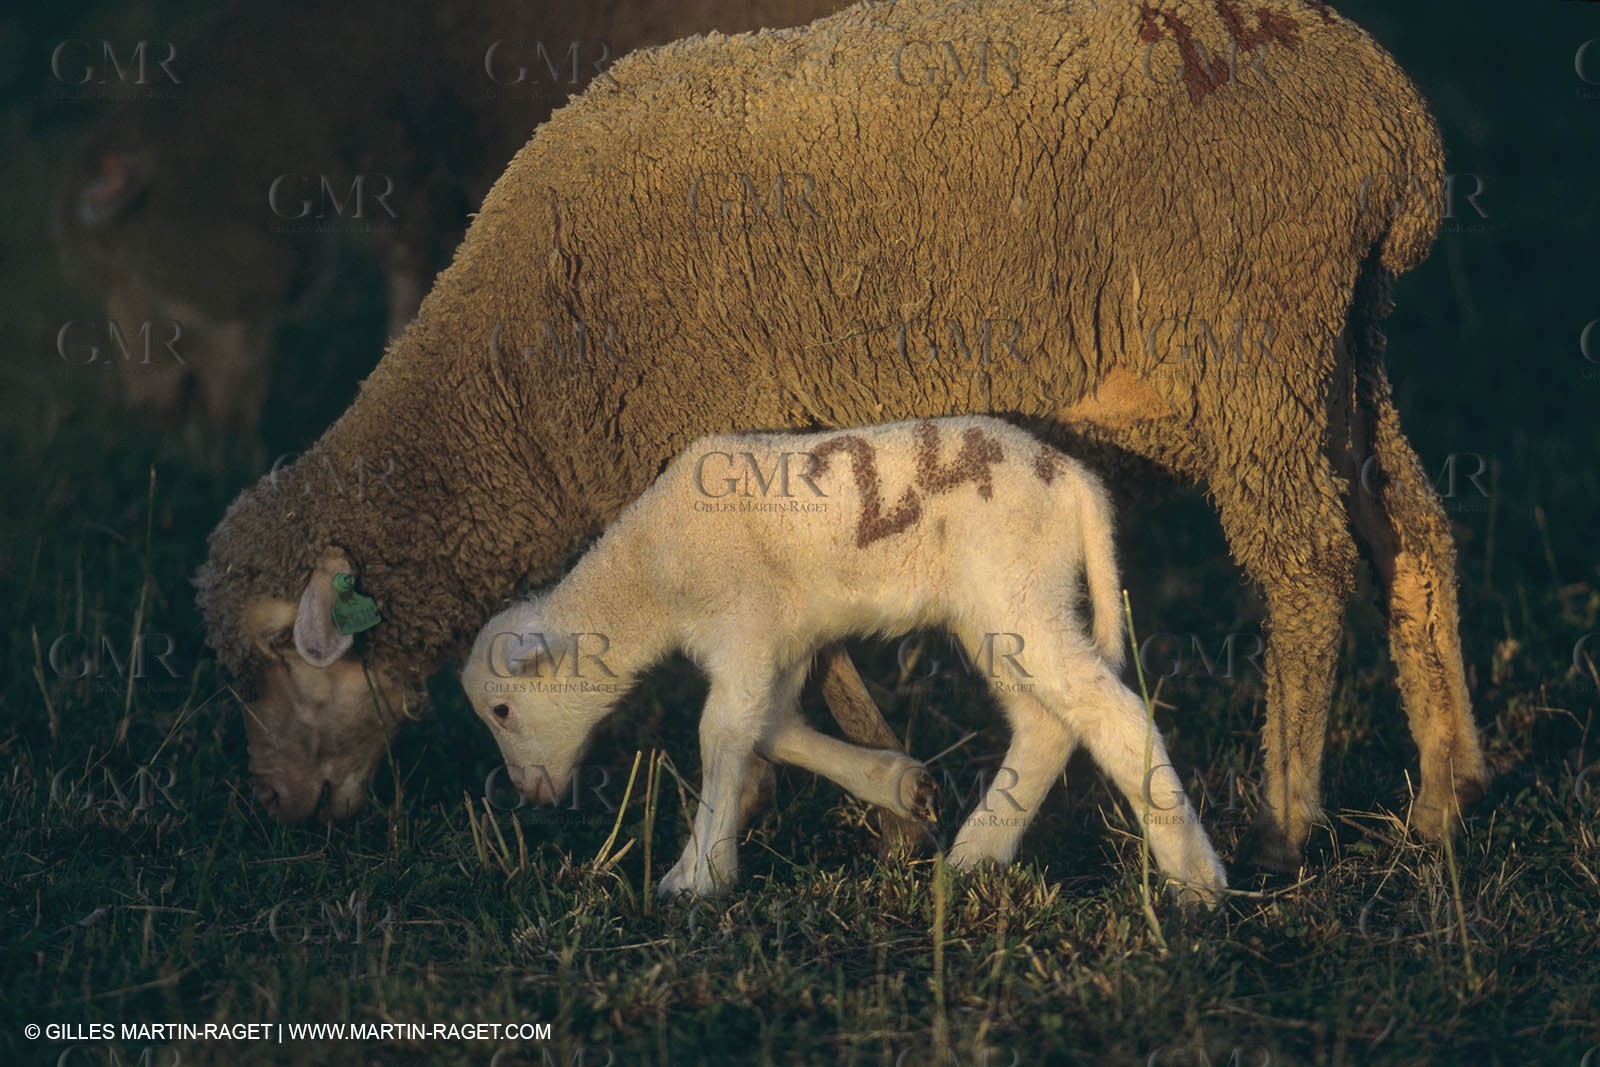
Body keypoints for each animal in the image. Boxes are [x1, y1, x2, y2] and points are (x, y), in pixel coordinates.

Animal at [461, 417, 1228, 904]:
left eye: (502, 708)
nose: (530, 793)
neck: (650, 575)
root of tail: (1071, 478)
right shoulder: (787, 637)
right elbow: (769, 726)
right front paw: (900, 785)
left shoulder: (743, 624)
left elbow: (720, 733)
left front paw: (700, 877)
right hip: (1002, 609)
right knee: (1048, 721)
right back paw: (974, 856)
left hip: (1016, 588)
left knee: (1111, 710)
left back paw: (1196, 880)